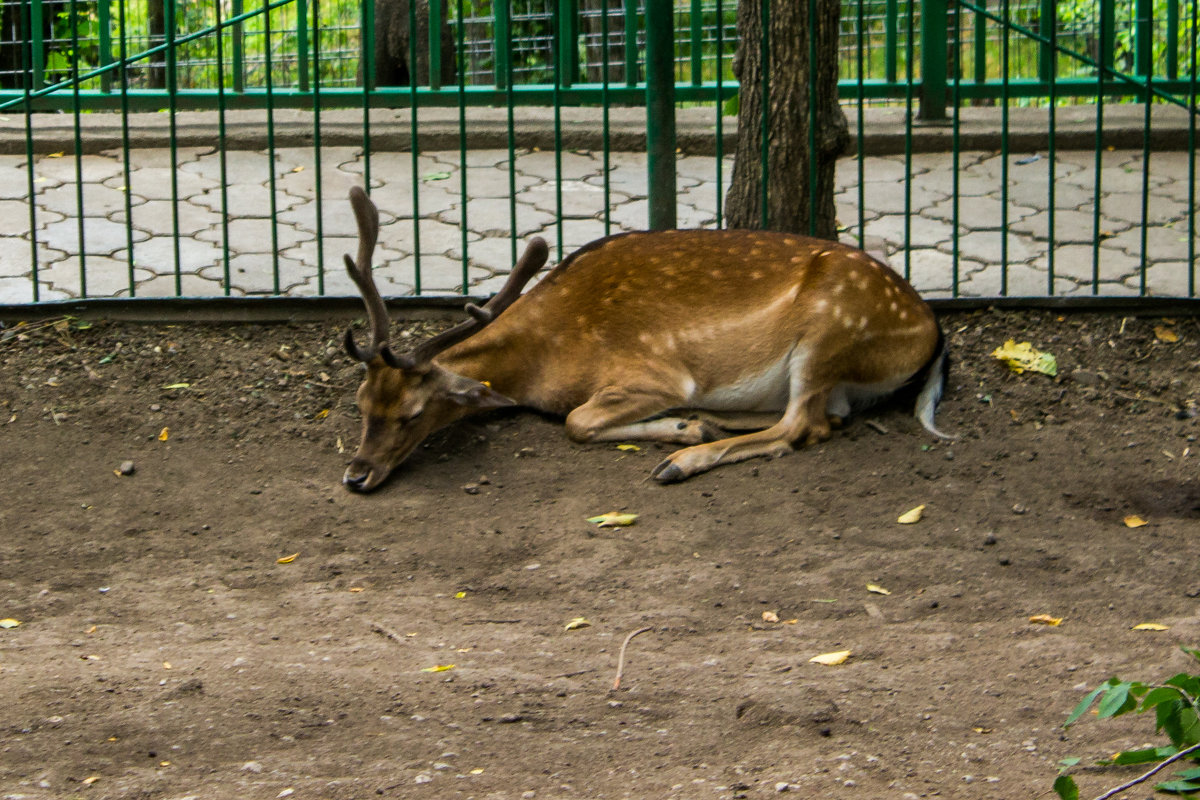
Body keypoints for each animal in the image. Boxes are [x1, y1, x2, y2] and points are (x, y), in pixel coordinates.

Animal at [338, 184, 945, 491]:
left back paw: (681, 459)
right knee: (826, 417)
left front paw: (679, 431)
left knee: (804, 426)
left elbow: (577, 422)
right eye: (361, 402)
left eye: (413, 413)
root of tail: (932, 331)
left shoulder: (653, 372)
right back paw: (705, 423)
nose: (356, 474)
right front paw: (687, 423)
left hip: (829, 328)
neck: (542, 357)